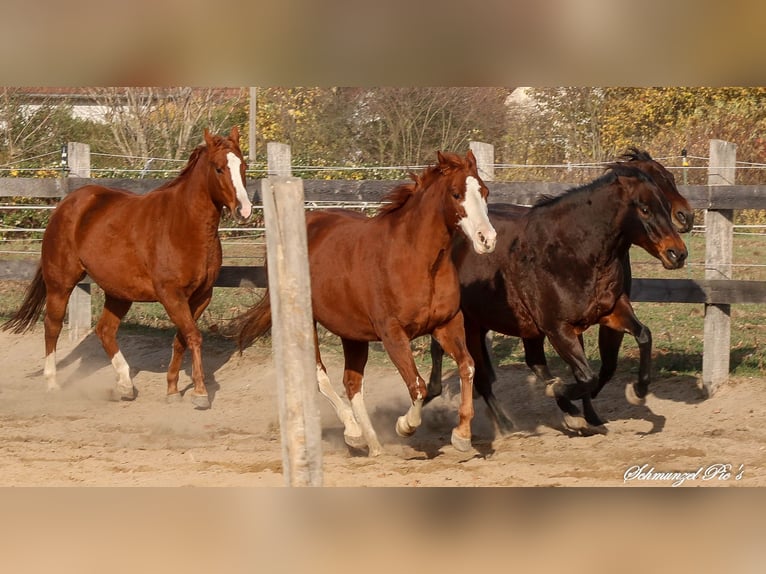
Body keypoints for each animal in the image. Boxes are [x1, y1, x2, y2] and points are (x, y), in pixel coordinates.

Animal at [3, 126, 252, 410]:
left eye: (243, 166)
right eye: (219, 168)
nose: (244, 210)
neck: (184, 225)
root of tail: (66, 203)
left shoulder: (202, 296)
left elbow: (181, 338)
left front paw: (172, 389)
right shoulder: (171, 294)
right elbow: (193, 336)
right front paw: (200, 393)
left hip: (118, 293)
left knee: (105, 331)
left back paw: (124, 385)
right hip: (61, 284)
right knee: (52, 327)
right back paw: (53, 385)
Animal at [234, 151, 498, 456]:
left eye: (485, 191)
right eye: (456, 194)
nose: (487, 239)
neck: (418, 260)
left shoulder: (447, 324)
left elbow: (467, 366)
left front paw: (462, 435)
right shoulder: (392, 333)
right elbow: (418, 386)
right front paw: (405, 426)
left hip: (352, 333)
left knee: (352, 383)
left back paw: (372, 445)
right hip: (308, 322)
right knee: (320, 375)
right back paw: (354, 433)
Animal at [428, 160, 688, 434]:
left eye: (665, 204)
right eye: (645, 209)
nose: (677, 253)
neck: (572, 252)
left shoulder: (609, 312)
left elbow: (643, 336)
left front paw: (635, 392)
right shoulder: (557, 328)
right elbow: (586, 376)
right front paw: (563, 395)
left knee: (530, 363)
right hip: (469, 324)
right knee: (478, 373)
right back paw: (505, 424)